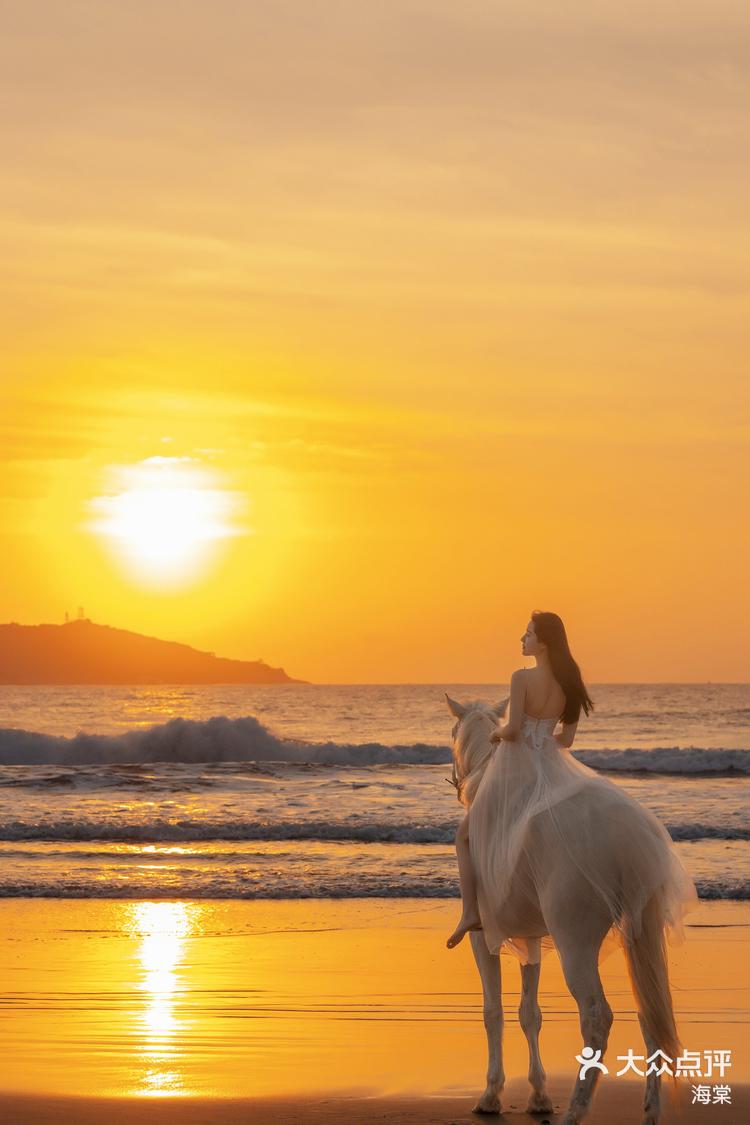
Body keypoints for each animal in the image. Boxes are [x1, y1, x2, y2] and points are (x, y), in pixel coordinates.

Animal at [443, 693, 688, 1125]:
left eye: (453, 732)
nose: (457, 782)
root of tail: (626, 838)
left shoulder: (483, 937)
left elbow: (493, 1012)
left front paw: (491, 1094)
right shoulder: (530, 938)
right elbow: (530, 1013)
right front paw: (538, 1094)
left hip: (574, 940)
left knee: (596, 1017)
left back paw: (575, 1110)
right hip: (642, 932)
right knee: (651, 1015)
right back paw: (649, 1111)